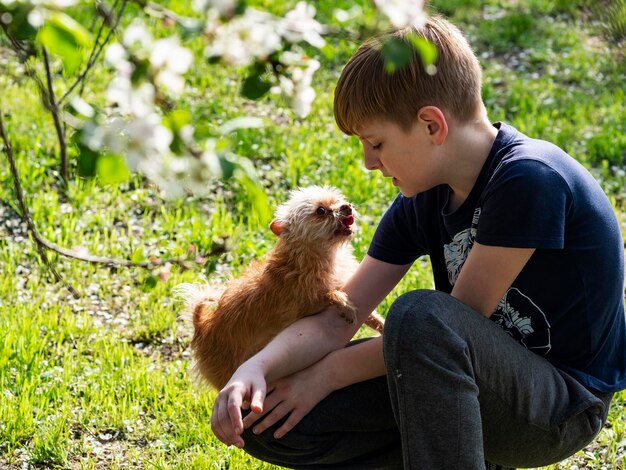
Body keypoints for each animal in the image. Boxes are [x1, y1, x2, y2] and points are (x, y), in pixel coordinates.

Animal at [173, 186, 382, 390]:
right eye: (321, 211)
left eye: (338, 200)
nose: (347, 206)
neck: (325, 256)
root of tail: (202, 326)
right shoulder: (304, 305)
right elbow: (328, 294)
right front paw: (342, 303)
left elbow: (372, 317)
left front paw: (381, 326)